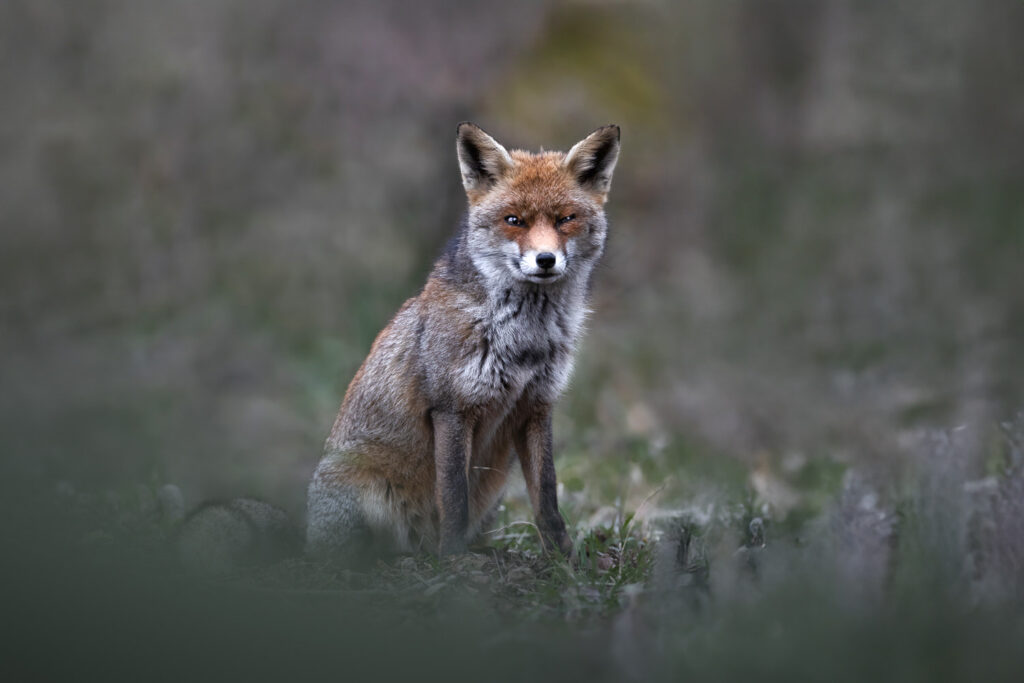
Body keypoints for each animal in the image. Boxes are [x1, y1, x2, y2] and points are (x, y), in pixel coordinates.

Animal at [305, 122, 621, 560]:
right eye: (514, 220)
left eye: (565, 219)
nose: (545, 260)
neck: (523, 341)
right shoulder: (452, 409)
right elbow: (454, 499)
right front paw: (453, 561)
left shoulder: (537, 407)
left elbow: (547, 499)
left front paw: (565, 561)